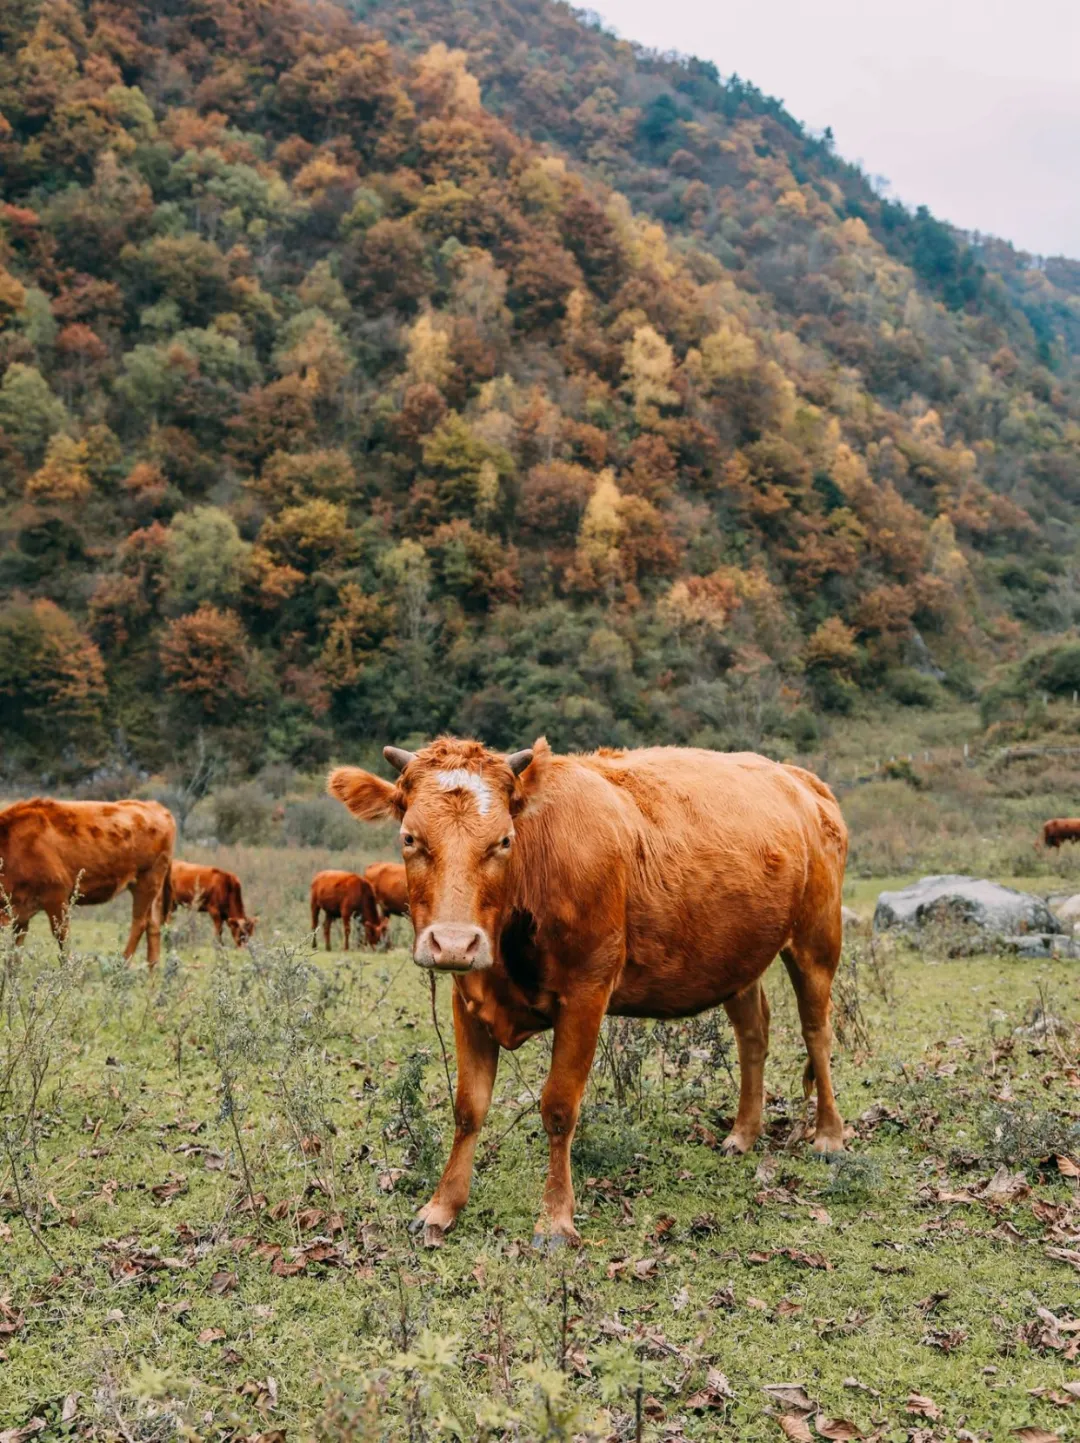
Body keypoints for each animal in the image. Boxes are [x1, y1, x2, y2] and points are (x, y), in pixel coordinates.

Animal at [0, 796, 175, 963]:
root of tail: (157, 808)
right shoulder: (20, 912)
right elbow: (14, 955)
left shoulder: (56, 897)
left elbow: (63, 943)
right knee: (153, 925)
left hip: (146, 881)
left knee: (140, 923)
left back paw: (123, 964)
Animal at [324, 738, 848, 1246]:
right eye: (410, 838)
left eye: (503, 840)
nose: (454, 942)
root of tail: (799, 778)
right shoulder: (468, 998)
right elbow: (468, 1108)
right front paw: (442, 1208)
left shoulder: (586, 994)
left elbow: (558, 1107)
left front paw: (555, 1219)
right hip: (738, 958)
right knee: (753, 1036)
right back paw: (743, 1133)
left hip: (817, 941)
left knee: (817, 1032)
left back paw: (829, 1136)